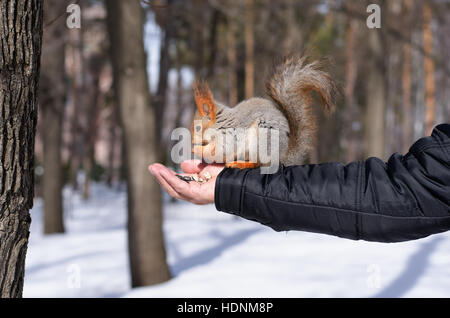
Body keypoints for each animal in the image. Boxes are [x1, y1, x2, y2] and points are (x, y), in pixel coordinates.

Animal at [192, 56, 336, 169]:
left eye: (198, 128)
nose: (192, 141)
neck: (220, 122)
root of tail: (282, 157)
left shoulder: (230, 134)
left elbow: (220, 150)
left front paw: (197, 149)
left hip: (262, 141)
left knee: (258, 164)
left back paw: (240, 164)